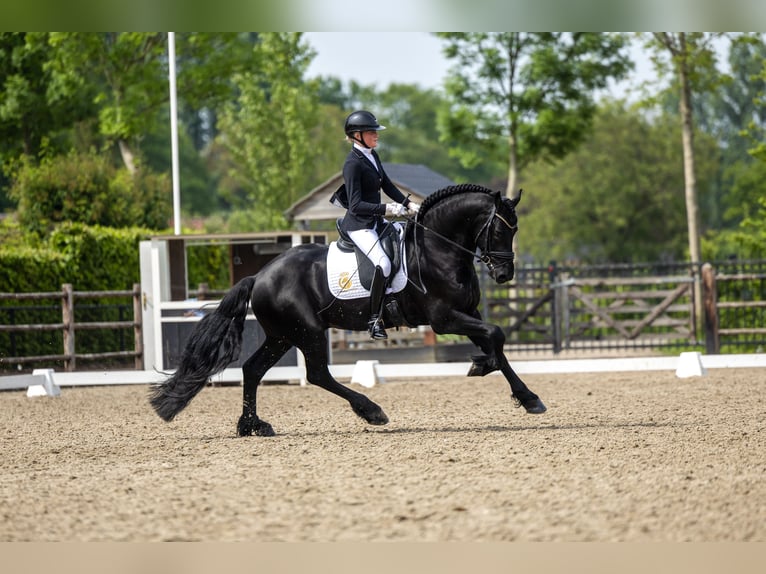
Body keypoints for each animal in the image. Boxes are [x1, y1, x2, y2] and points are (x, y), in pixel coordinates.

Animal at [150, 184, 544, 436]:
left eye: (515, 230)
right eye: (498, 230)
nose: (504, 274)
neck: (438, 249)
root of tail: (260, 275)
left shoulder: (468, 314)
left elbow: (496, 343)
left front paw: (522, 393)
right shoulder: (443, 319)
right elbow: (496, 335)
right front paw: (492, 372)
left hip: (282, 336)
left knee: (253, 369)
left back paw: (252, 426)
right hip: (307, 331)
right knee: (317, 374)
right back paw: (371, 411)